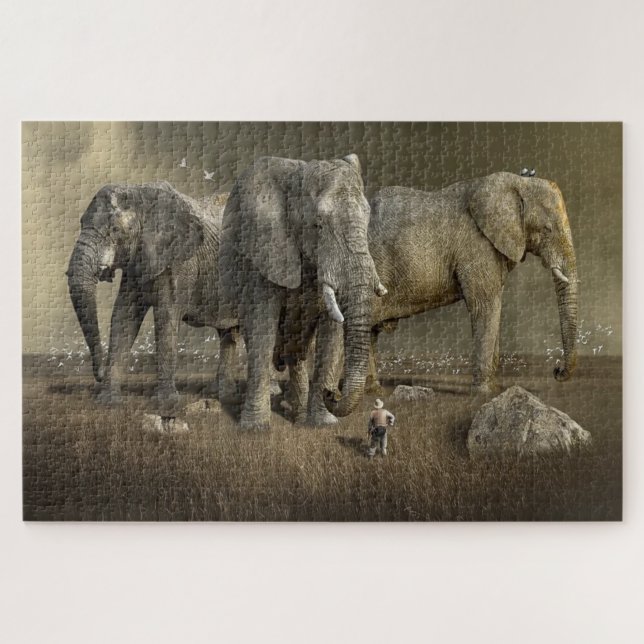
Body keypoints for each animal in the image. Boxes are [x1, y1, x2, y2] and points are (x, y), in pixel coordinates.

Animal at [66, 181, 239, 412]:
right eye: (82, 222)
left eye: (115, 230)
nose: (99, 375)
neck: (140, 192)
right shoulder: (136, 263)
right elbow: (123, 318)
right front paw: (107, 401)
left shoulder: (181, 262)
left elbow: (166, 317)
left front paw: (165, 403)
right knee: (228, 333)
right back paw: (222, 393)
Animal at [217, 154, 387, 429]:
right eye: (318, 225)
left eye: (367, 220)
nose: (333, 393)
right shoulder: (264, 249)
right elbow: (262, 324)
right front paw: (255, 429)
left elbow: (332, 334)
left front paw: (324, 424)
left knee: (297, 352)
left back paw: (297, 413)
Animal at [310, 171, 578, 419]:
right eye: (547, 229)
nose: (556, 371)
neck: (517, 183)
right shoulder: (476, 245)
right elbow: (485, 306)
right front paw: (484, 394)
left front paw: (495, 389)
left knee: (369, 330)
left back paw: (372, 391)